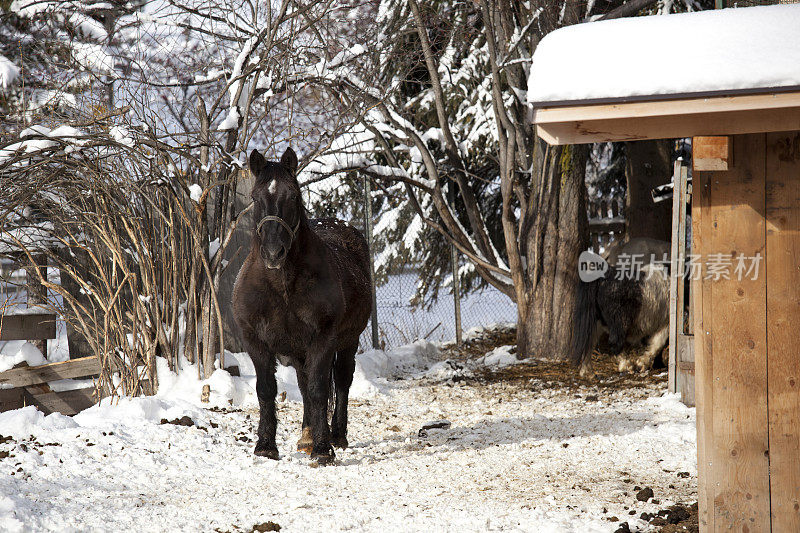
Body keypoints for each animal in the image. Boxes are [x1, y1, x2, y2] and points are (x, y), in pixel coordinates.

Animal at [230, 148, 370, 464]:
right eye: (255, 197)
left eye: (293, 196)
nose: (273, 253)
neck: (282, 286)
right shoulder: (255, 341)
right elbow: (267, 389)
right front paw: (266, 446)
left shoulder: (323, 339)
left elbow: (320, 389)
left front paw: (323, 449)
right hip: (298, 350)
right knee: (305, 384)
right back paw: (306, 437)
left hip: (348, 341)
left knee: (341, 380)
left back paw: (336, 435)